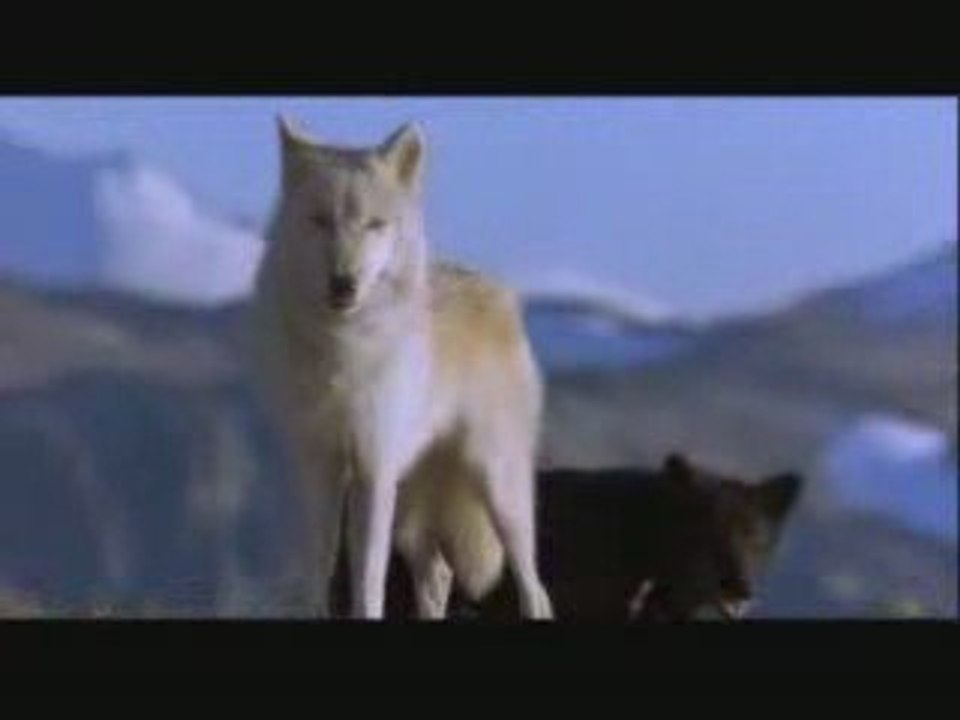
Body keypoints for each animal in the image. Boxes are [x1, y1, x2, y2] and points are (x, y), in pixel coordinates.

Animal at [252, 117, 552, 619]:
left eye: (374, 225)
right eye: (321, 220)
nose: (343, 282)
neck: (342, 350)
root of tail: (500, 293)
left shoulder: (373, 468)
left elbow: (367, 579)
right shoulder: (319, 465)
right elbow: (319, 565)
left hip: (496, 486)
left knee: (535, 586)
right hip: (413, 508)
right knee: (439, 576)